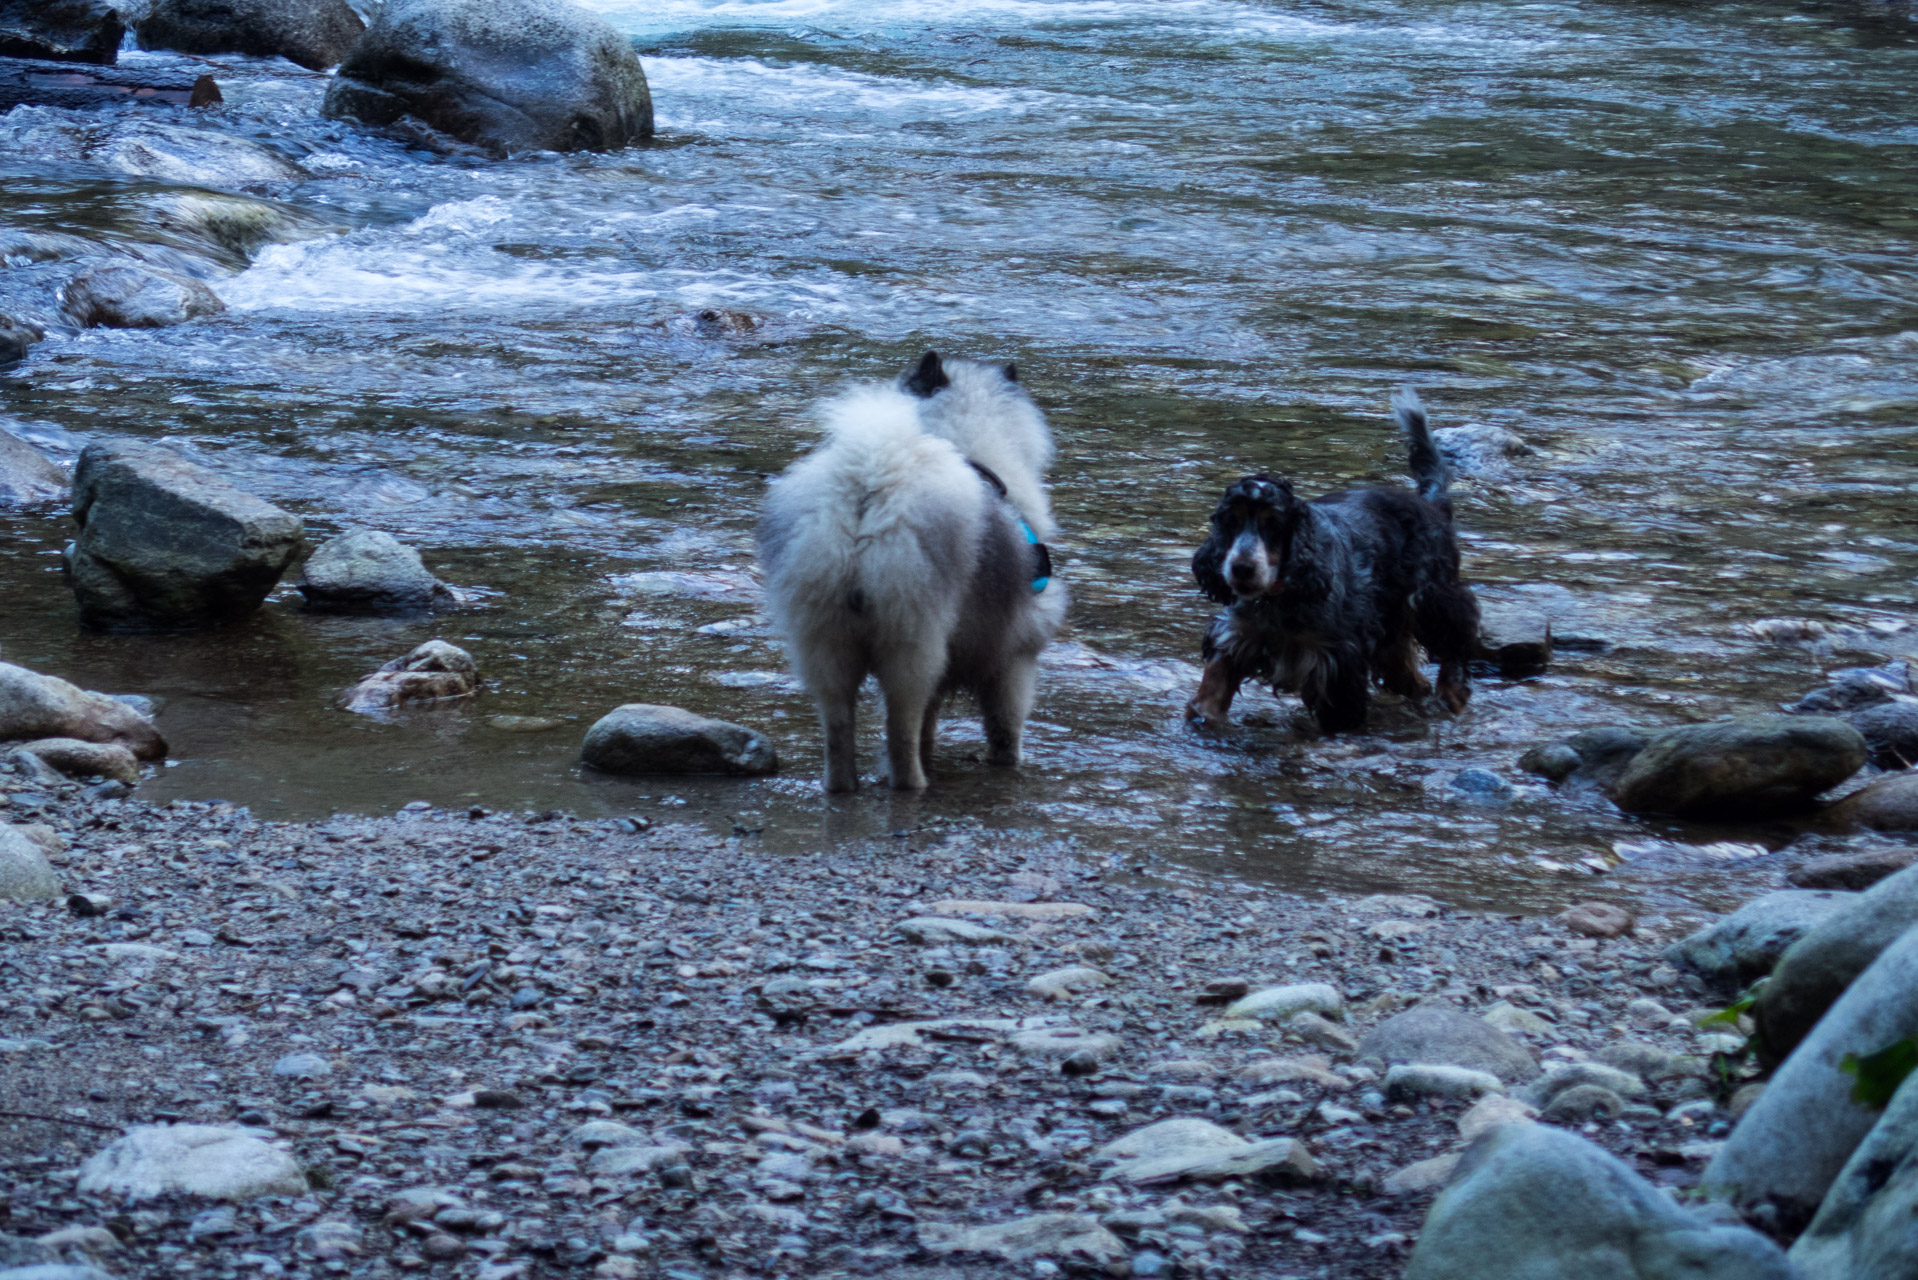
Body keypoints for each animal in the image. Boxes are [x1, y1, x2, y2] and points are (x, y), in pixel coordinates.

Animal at [759, 351, 1066, 790]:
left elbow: (930, 728)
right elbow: (1005, 727)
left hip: (825, 646)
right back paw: (914, 784)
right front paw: (1006, 762)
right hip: (913, 645)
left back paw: (843, 786)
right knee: (900, 732)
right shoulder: (1016, 657)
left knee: (839, 732)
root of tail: (867, 495)